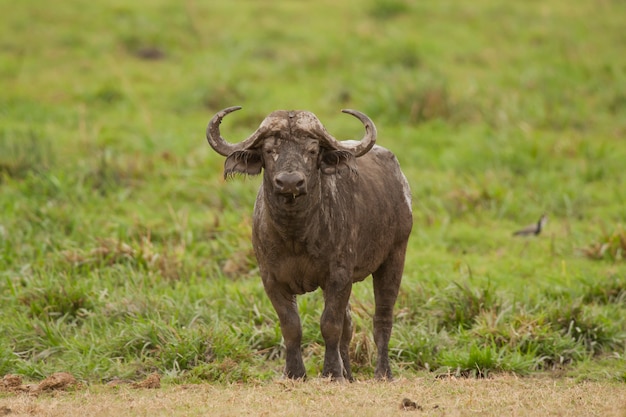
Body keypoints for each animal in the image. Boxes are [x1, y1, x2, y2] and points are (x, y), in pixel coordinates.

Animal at [204, 107, 410, 380]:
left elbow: (330, 324)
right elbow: (292, 325)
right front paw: (295, 373)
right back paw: (350, 375)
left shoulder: (338, 276)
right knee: (349, 325)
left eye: (312, 151)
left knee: (382, 318)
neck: (295, 236)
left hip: (395, 256)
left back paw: (383, 373)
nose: (290, 182)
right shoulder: (271, 279)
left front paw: (332, 373)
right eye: (269, 150)